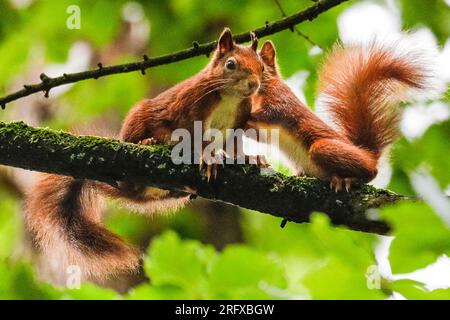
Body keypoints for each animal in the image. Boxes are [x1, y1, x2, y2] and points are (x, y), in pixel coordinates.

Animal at [25, 28, 264, 282]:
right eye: (231, 64)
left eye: (262, 67)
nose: (254, 84)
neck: (230, 97)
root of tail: (130, 188)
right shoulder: (191, 105)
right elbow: (195, 136)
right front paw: (207, 157)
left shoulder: (238, 119)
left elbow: (234, 143)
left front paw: (250, 158)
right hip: (138, 117)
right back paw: (149, 142)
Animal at [250, 40, 426, 190]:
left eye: (261, 67)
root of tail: (367, 153)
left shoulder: (281, 99)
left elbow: (272, 112)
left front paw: (250, 116)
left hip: (324, 148)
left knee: (371, 172)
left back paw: (348, 179)